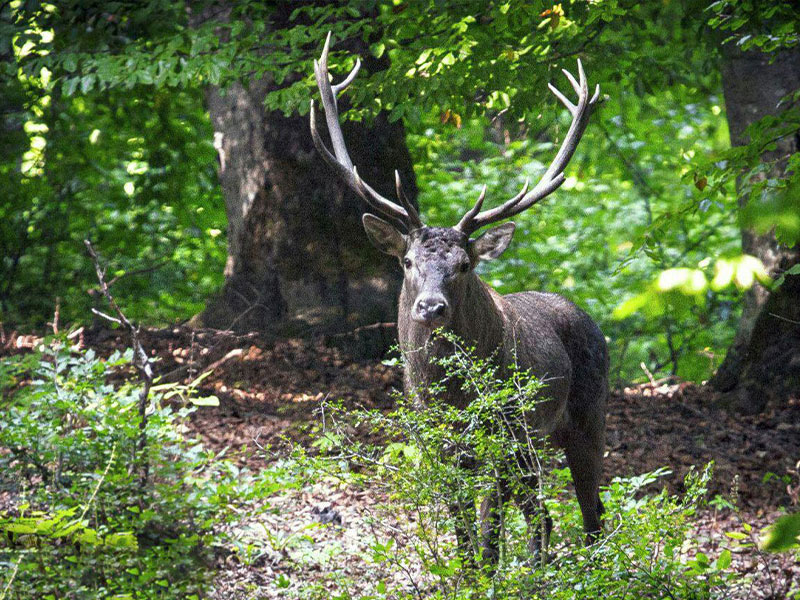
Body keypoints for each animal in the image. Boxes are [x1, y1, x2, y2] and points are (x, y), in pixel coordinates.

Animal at [310, 34, 608, 568]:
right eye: (407, 261)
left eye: (465, 265)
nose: (431, 307)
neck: (450, 392)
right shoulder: (435, 437)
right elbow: (462, 524)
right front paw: (468, 573)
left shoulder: (502, 429)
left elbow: (489, 526)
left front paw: (488, 574)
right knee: (544, 513)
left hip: (585, 415)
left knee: (590, 512)